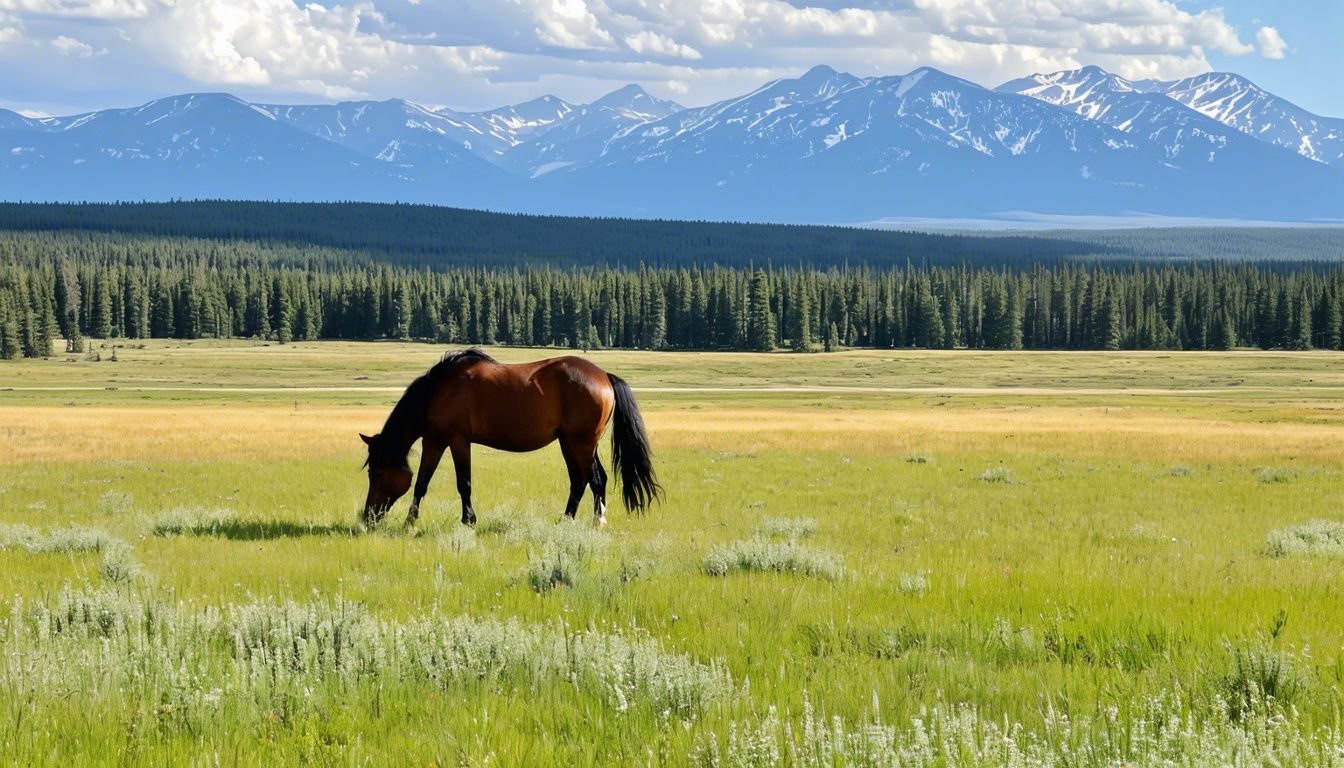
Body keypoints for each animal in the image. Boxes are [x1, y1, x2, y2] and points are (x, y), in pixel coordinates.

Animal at [362, 349, 661, 529]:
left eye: (377, 472)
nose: (367, 517)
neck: (438, 391)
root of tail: (604, 376)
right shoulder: (435, 441)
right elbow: (422, 482)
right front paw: (409, 522)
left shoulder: (458, 440)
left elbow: (464, 483)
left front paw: (468, 520)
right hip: (571, 443)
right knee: (581, 481)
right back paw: (565, 520)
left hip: (581, 444)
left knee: (595, 479)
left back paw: (597, 521)